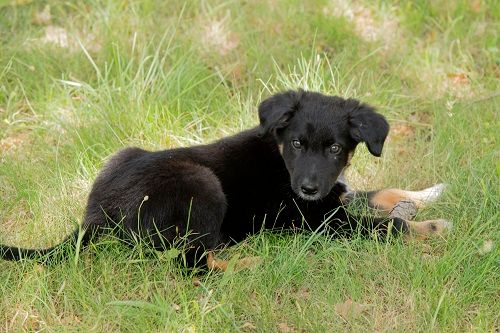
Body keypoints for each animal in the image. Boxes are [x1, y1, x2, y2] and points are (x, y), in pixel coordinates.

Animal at [0, 89, 450, 266]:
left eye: (336, 149)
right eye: (297, 143)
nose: (306, 188)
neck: (281, 160)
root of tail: (95, 215)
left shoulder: (331, 197)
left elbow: (382, 192)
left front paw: (430, 194)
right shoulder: (316, 220)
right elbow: (386, 226)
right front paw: (428, 226)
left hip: (124, 154)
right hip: (203, 185)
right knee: (190, 261)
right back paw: (252, 262)